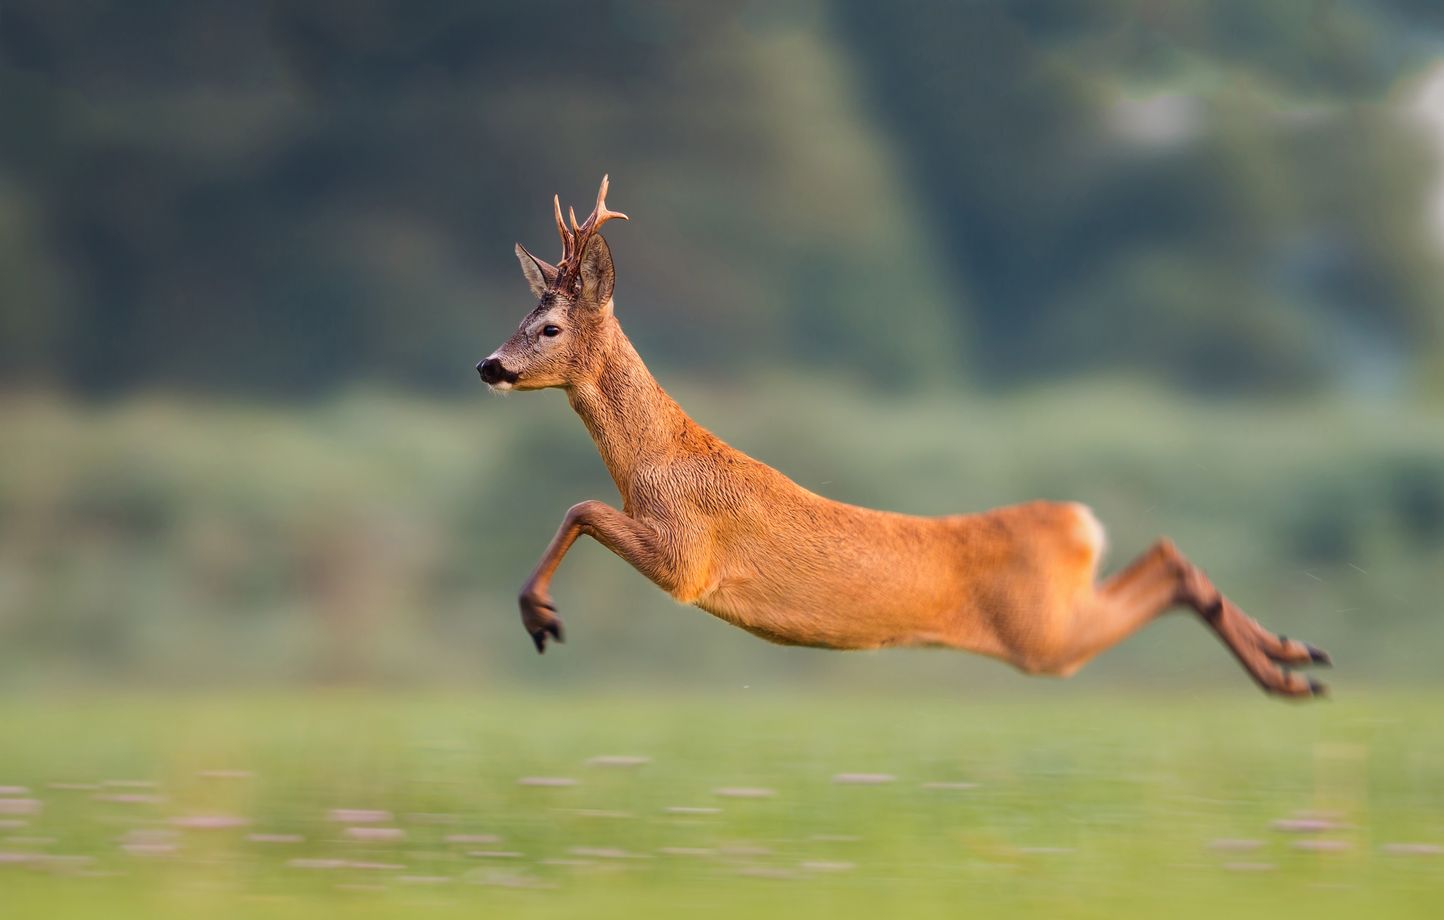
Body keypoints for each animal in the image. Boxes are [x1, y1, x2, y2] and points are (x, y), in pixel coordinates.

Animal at [476, 177, 1328, 696]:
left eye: (548, 327)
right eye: (521, 315)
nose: (489, 364)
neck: (657, 460)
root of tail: (1079, 523)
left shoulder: (686, 559)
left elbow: (581, 507)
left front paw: (540, 617)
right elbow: (581, 508)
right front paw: (537, 613)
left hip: (1043, 635)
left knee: (1168, 567)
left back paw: (1291, 671)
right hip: (1055, 618)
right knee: (1167, 556)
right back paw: (1297, 660)